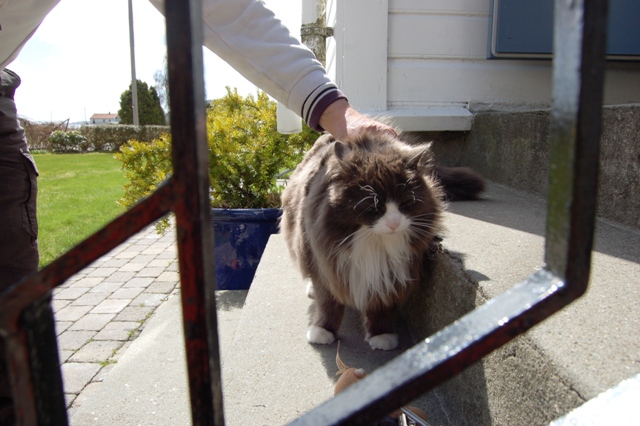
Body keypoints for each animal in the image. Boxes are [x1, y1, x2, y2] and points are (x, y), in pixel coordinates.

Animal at [280, 131, 484, 350]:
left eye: (405, 202)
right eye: (374, 206)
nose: (394, 223)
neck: (374, 244)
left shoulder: (389, 272)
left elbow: (381, 304)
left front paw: (381, 335)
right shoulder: (328, 265)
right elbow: (328, 302)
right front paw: (322, 331)